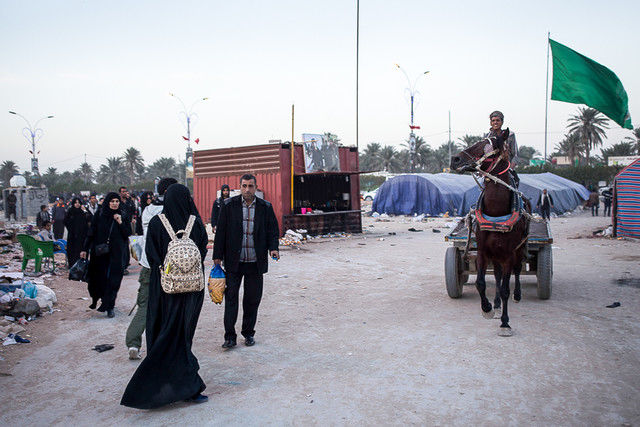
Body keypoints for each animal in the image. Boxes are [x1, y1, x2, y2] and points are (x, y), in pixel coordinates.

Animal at [448, 129, 528, 336]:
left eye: (488, 145)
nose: (455, 159)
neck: (496, 212)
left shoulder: (508, 254)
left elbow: (506, 288)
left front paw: (505, 323)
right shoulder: (483, 251)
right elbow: (481, 283)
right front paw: (488, 308)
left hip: (519, 248)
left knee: (517, 271)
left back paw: (517, 295)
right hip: (495, 254)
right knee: (498, 276)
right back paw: (497, 304)